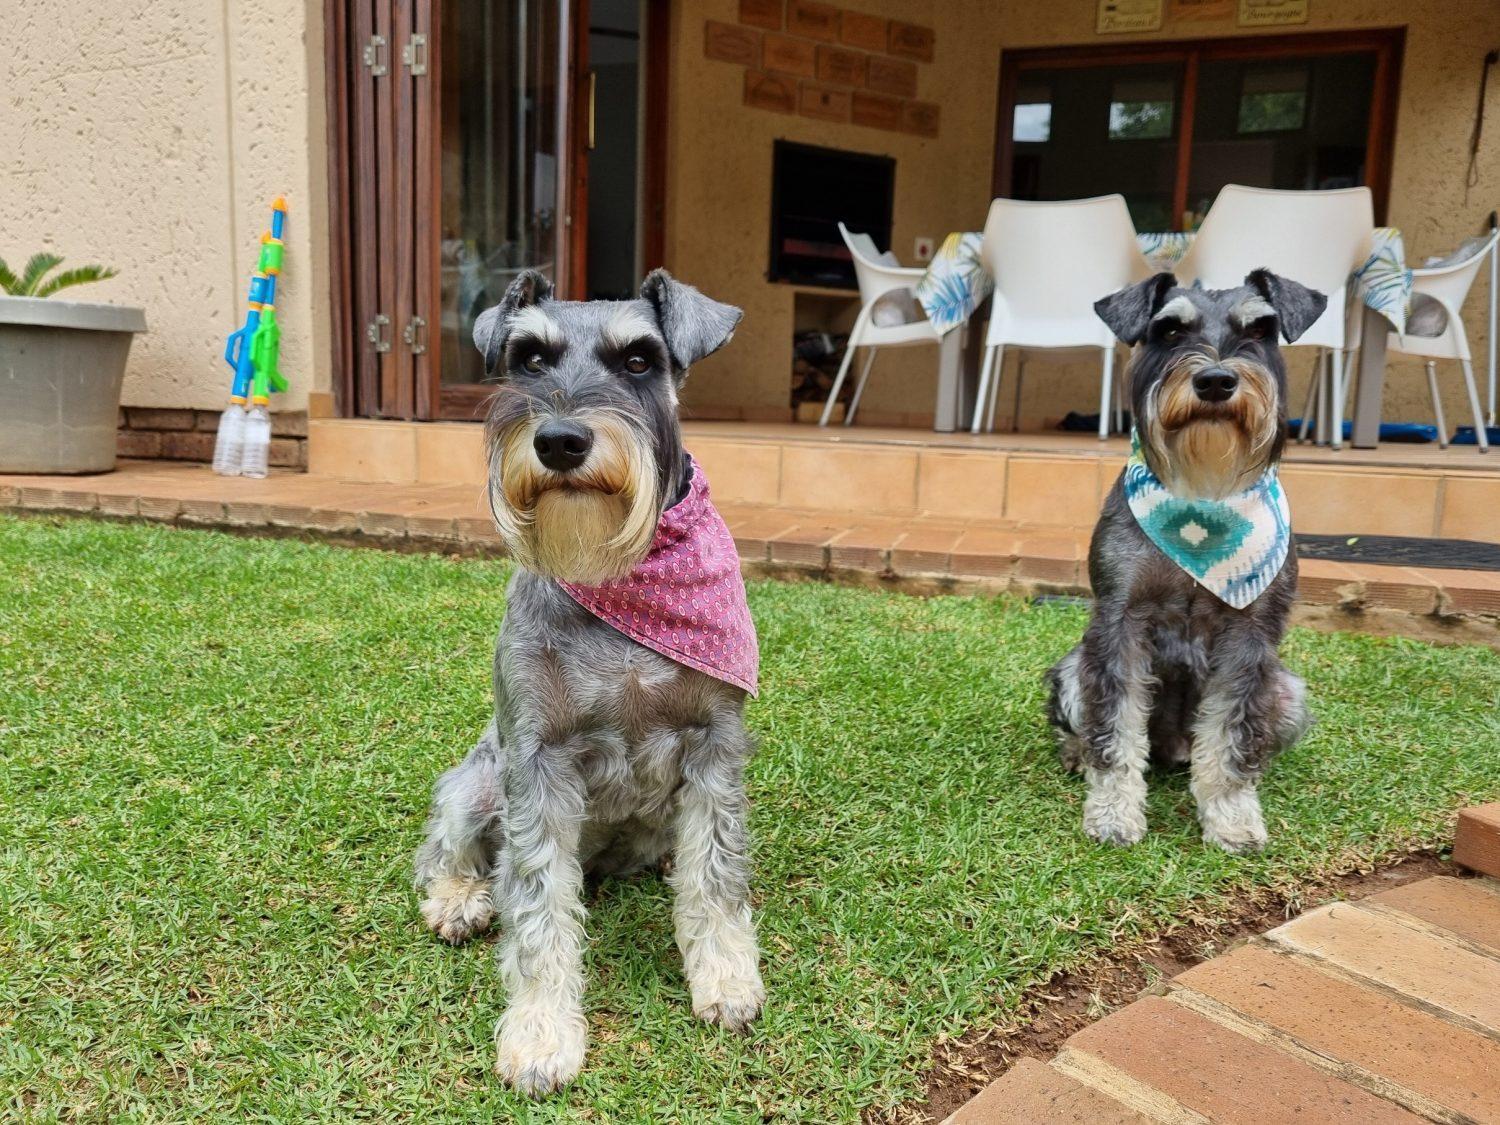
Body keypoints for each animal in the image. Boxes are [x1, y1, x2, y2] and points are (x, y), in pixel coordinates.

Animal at [414, 268, 768, 1098]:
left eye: (640, 360)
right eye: (528, 358)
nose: (560, 440)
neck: (618, 570)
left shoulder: (715, 745)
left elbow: (717, 872)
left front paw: (726, 978)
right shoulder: (537, 762)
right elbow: (539, 901)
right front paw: (541, 1034)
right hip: (477, 781)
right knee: (449, 849)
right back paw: (458, 898)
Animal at [1044, 271, 1326, 852]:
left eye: (1261, 329)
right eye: (1169, 329)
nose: (1216, 381)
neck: (1203, 495)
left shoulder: (1250, 636)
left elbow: (1233, 736)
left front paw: (1233, 817)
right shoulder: (1118, 622)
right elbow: (1114, 729)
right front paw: (1112, 814)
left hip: (1287, 691)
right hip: (1072, 668)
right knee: (1084, 722)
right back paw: (1074, 754)